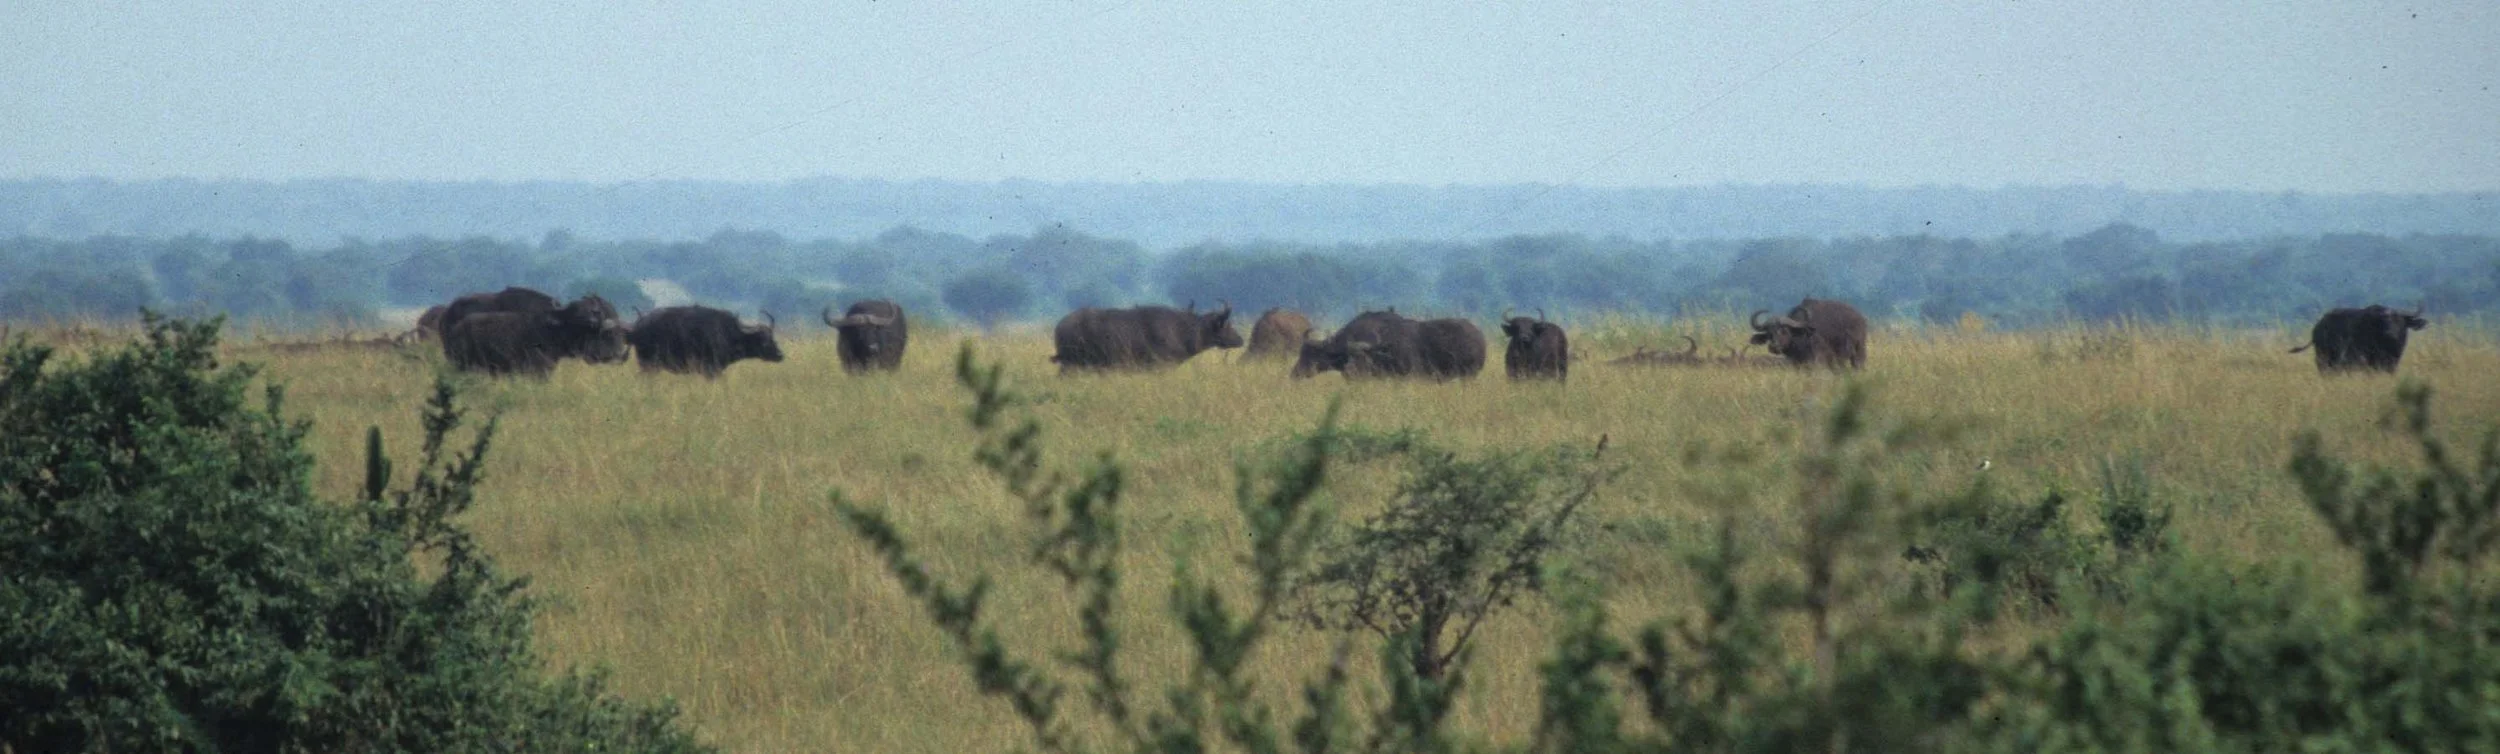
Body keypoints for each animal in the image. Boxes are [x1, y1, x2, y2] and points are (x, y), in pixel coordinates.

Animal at [626, 306, 785, 378]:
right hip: (649, 365)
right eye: (763, 340)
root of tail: (637, 328)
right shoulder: (711, 370)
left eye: (772, 338)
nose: (780, 355)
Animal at [2291, 304, 2427, 373]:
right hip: (2324, 359)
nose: (2390, 334)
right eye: (2382, 322)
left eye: (2399, 321)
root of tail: (2317, 328)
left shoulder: (2392, 363)